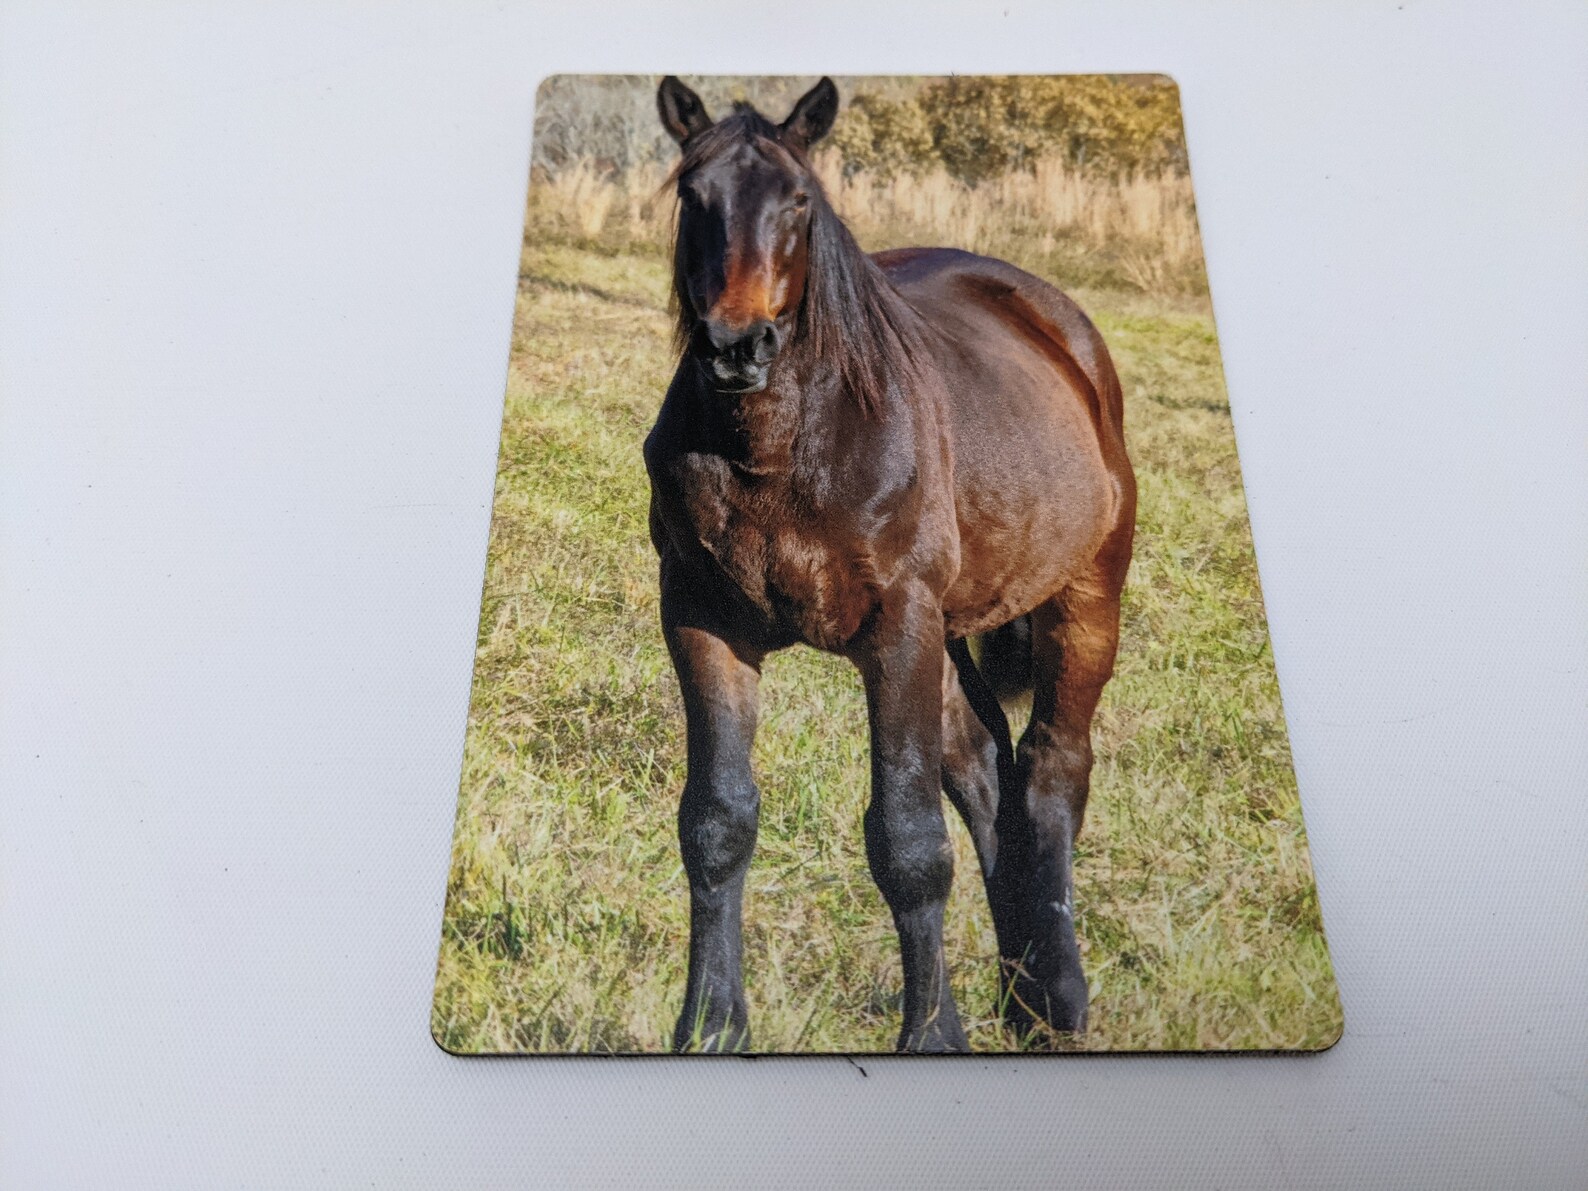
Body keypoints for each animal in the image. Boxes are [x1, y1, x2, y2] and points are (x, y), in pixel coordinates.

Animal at [644, 76, 1136, 1052]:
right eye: (693, 195)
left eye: (799, 201)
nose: (736, 345)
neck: (782, 450)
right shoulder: (702, 618)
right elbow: (717, 820)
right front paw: (711, 1024)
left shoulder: (898, 625)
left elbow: (909, 844)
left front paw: (932, 1036)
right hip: (946, 635)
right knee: (985, 768)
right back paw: (1018, 995)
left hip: (1084, 596)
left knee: (1052, 770)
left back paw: (1059, 1001)